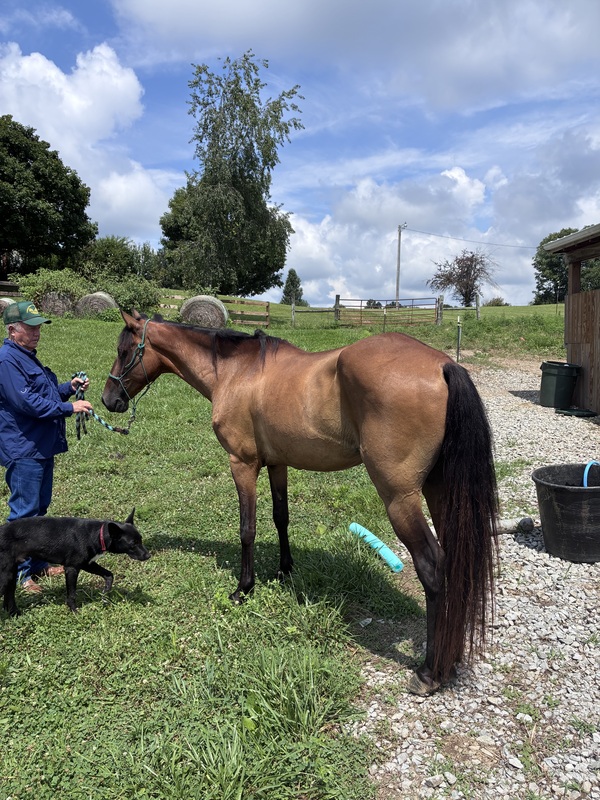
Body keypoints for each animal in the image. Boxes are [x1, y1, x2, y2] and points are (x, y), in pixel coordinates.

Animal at [102, 310, 498, 695]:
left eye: (124, 351)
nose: (108, 399)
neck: (236, 371)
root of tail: (442, 366)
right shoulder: (278, 463)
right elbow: (281, 517)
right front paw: (284, 569)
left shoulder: (242, 464)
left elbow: (247, 529)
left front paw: (243, 588)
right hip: (440, 493)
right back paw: (451, 658)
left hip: (400, 499)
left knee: (432, 566)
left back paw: (430, 672)